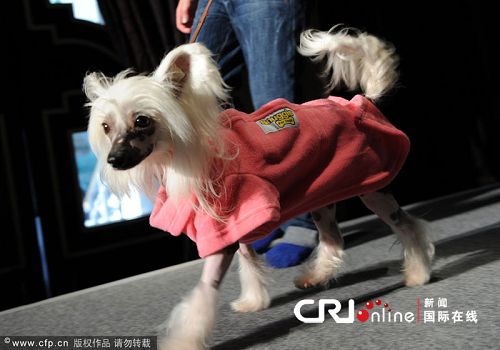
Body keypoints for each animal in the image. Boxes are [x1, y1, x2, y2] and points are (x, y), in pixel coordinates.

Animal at [82, 26, 434, 350]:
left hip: (372, 186)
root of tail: (359, 103)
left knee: (407, 225)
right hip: (322, 192)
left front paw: (183, 340)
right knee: (333, 238)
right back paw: (316, 276)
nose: (113, 159)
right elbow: (249, 262)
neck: (183, 156)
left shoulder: (225, 231)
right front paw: (253, 301)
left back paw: (418, 273)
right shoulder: (237, 223)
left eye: (142, 121)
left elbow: (204, 291)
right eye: (106, 127)